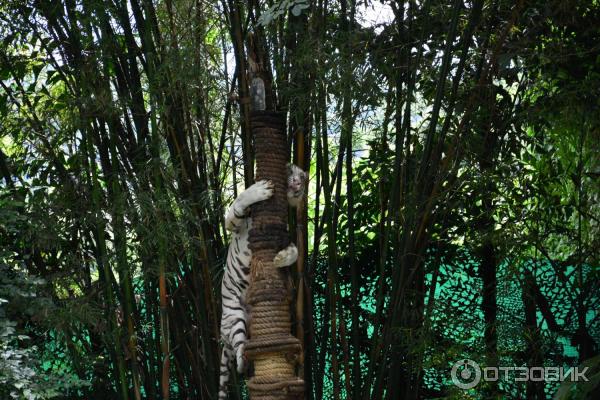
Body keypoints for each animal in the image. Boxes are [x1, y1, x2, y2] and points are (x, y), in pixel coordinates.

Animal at [218, 164, 308, 398]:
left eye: (303, 177)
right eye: (289, 171)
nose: (298, 184)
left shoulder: (283, 236)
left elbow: (294, 250)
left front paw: (280, 259)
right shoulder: (233, 222)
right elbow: (240, 201)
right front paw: (260, 190)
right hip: (234, 318)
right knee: (239, 352)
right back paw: (243, 359)